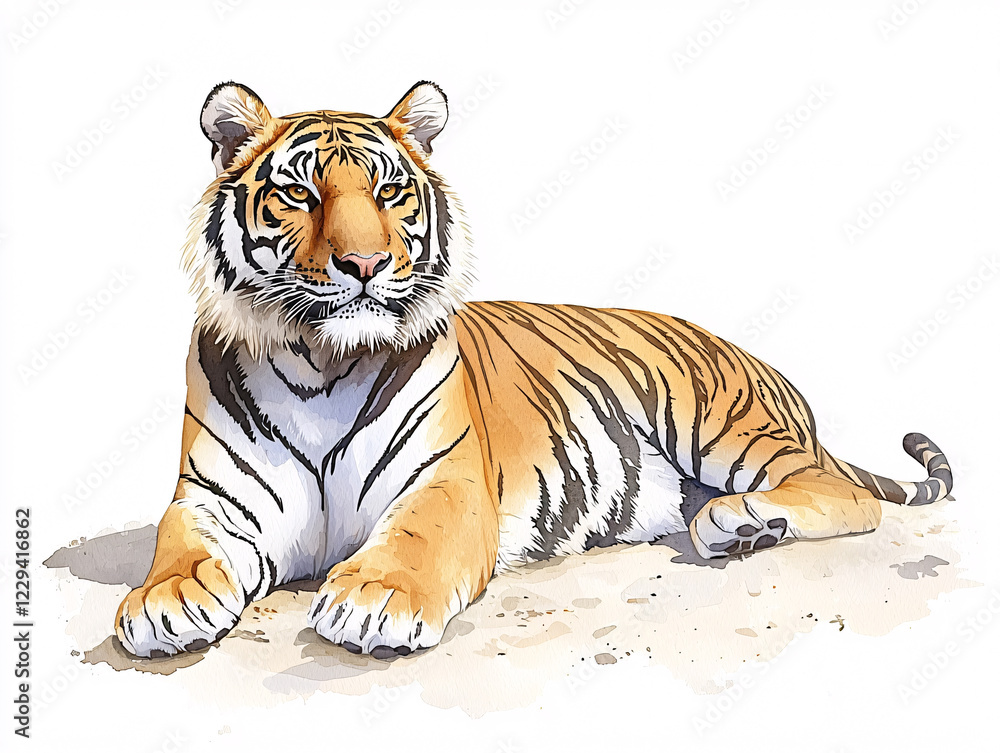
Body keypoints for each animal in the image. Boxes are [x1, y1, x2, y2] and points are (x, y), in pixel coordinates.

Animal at [114, 81, 954, 659]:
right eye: (298, 192)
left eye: (388, 191)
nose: (365, 263)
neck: (321, 361)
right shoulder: (213, 496)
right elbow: (180, 542)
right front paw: (163, 600)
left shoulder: (447, 483)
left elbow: (413, 538)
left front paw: (377, 598)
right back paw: (748, 525)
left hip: (717, 418)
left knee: (848, 493)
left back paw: (739, 519)